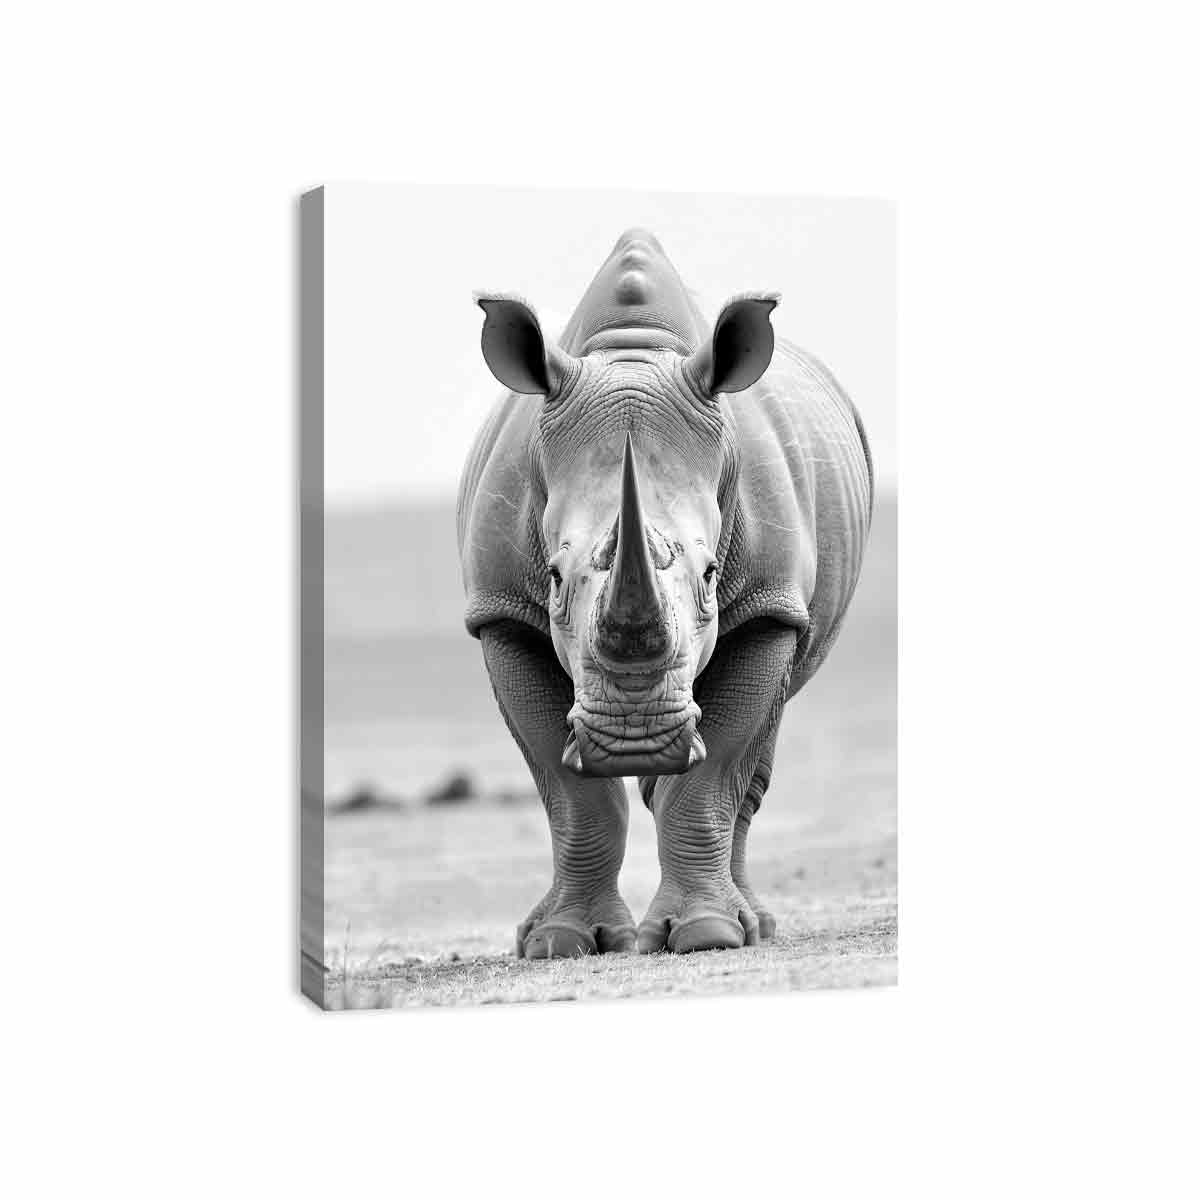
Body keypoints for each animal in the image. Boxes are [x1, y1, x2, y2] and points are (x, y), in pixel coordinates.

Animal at [457, 228, 873, 957]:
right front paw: (561, 942)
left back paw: (755, 925)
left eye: (710, 576)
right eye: (554, 577)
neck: (633, 355)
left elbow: (713, 773)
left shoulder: (768, 604)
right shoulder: (502, 611)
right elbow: (571, 792)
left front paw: (706, 935)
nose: (635, 738)